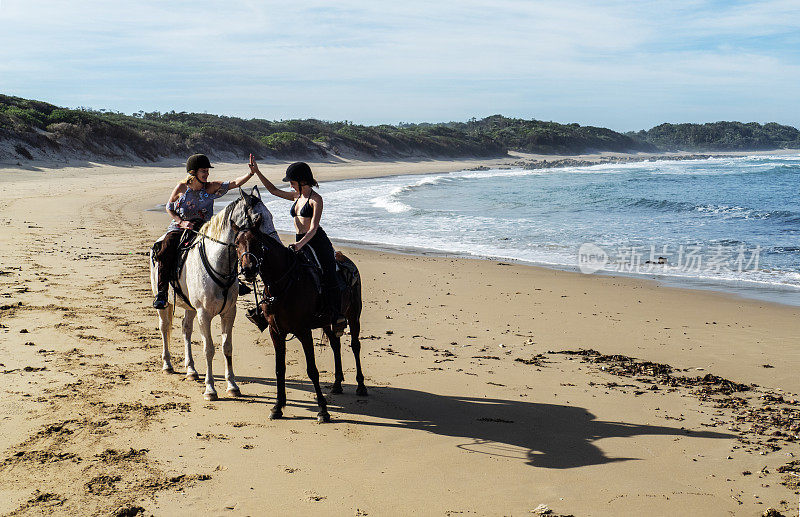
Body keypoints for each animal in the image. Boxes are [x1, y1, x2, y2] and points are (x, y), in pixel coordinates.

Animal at [150, 187, 278, 402]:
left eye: (272, 215)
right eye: (257, 218)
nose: (276, 246)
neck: (218, 262)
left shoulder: (229, 312)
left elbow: (227, 347)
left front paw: (232, 386)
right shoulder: (204, 314)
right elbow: (209, 348)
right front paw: (210, 389)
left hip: (190, 307)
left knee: (186, 329)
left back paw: (191, 370)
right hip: (165, 302)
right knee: (164, 326)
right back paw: (167, 364)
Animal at [233, 220, 368, 422]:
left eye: (256, 242)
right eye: (236, 244)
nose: (248, 269)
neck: (283, 285)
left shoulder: (303, 331)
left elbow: (312, 370)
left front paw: (323, 410)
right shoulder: (276, 332)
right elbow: (279, 369)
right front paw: (278, 407)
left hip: (353, 315)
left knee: (355, 346)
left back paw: (361, 386)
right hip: (328, 322)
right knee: (336, 346)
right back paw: (337, 384)